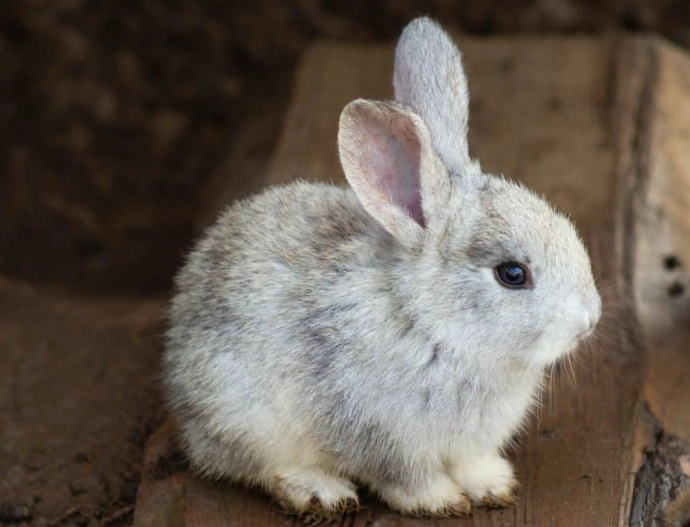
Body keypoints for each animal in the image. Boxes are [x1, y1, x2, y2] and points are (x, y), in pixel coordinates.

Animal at [163, 16, 602, 519]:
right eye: (512, 274)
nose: (590, 319)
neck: (432, 324)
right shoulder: (382, 437)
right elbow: (405, 479)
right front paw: (441, 502)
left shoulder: (469, 444)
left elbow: (473, 463)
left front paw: (493, 486)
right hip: (243, 416)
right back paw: (321, 492)